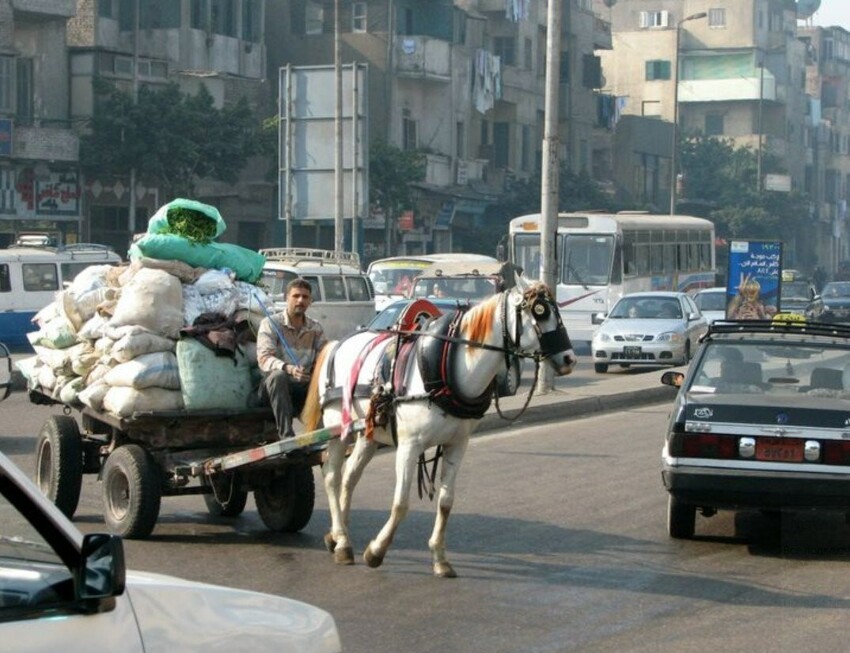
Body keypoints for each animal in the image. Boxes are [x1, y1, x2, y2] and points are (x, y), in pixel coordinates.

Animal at [302, 276, 572, 576]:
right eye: (540, 312)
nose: (569, 359)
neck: (448, 368)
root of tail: (337, 343)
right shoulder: (409, 446)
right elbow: (400, 504)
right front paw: (376, 551)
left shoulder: (457, 444)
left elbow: (446, 502)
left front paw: (440, 559)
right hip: (338, 429)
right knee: (332, 476)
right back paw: (342, 541)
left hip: (368, 434)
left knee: (349, 477)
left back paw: (337, 535)